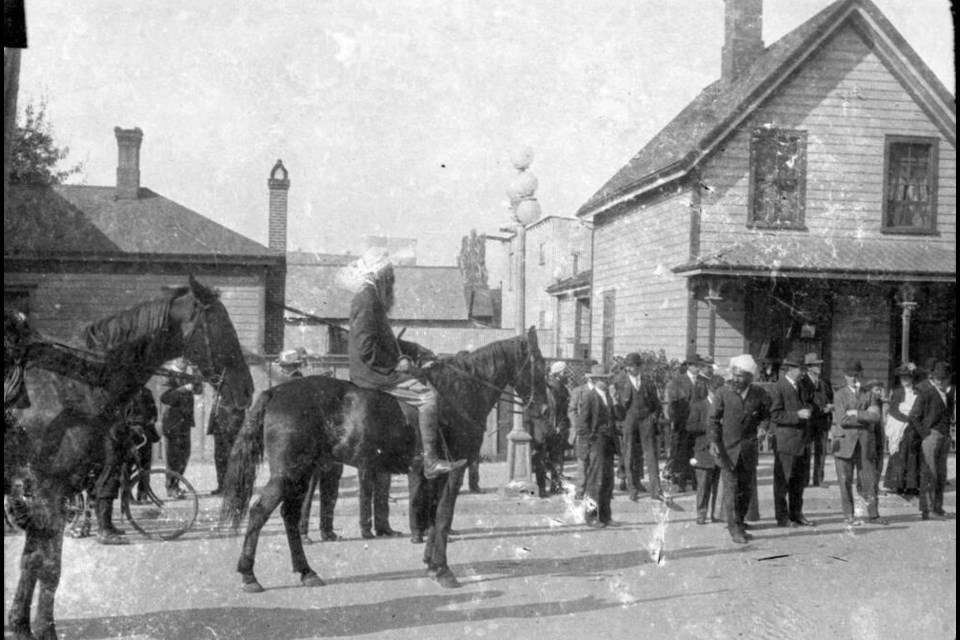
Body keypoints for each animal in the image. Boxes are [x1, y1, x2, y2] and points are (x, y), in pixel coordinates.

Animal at [5, 276, 253, 640]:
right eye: (222, 323)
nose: (247, 388)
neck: (70, 385)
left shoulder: (48, 494)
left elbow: (32, 562)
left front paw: (21, 626)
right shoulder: (49, 490)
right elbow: (47, 566)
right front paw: (43, 629)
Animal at [219, 328, 548, 592]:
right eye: (540, 365)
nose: (544, 409)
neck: (458, 393)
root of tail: (275, 392)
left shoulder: (435, 474)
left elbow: (434, 516)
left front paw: (431, 563)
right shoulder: (454, 469)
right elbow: (443, 517)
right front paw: (443, 570)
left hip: (299, 474)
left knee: (288, 516)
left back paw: (306, 571)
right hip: (289, 472)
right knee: (259, 512)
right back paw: (249, 575)